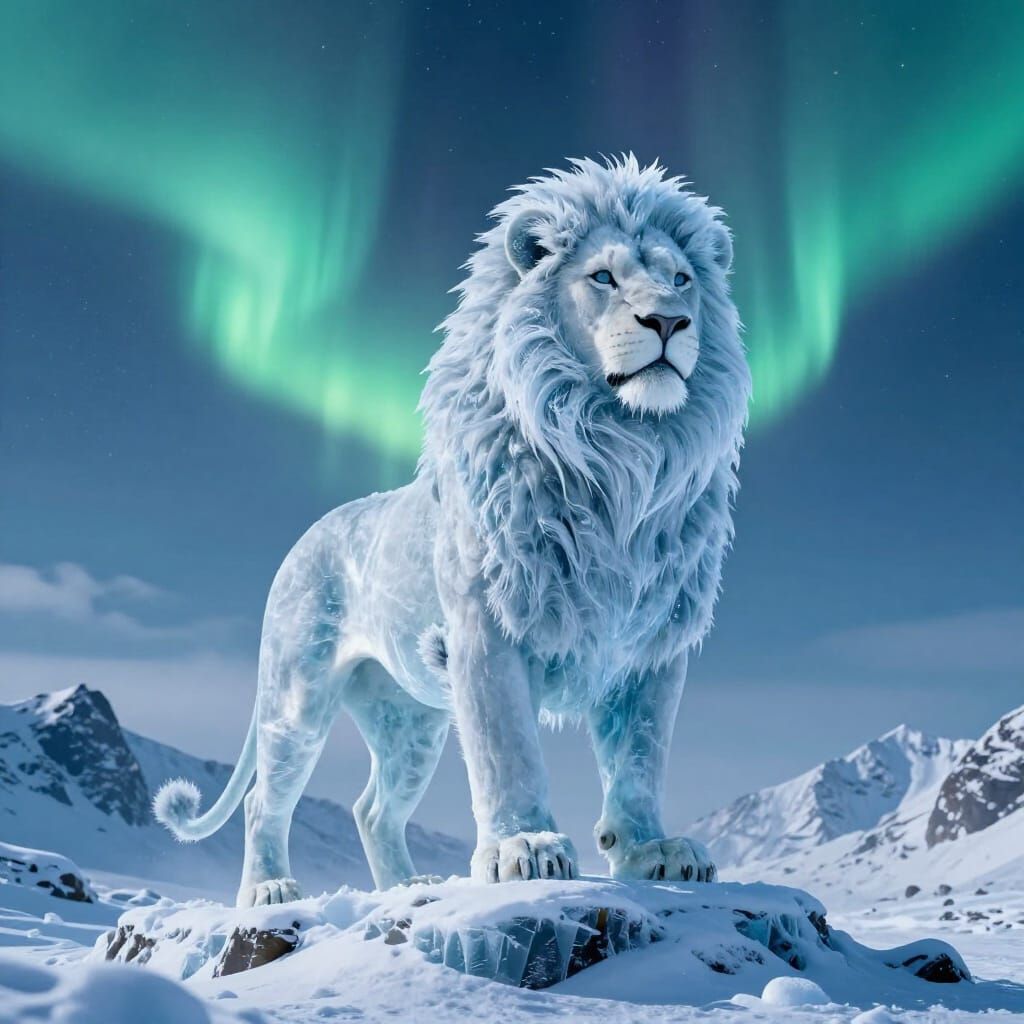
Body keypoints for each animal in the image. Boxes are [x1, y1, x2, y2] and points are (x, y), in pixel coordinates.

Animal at [154, 156, 751, 906]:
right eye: (602, 277)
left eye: (682, 279)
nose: (669, 320)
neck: (621, 458)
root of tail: (305, 538)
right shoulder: (487, 626)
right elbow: (508, 747)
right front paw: (524, 849)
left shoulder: (652, 647)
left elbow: (641, 756)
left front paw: (652, 853)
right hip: (297, 693)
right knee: (269, 797)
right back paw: (270, 891)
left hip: (410, 722)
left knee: (372, 808)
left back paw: (407, 887)